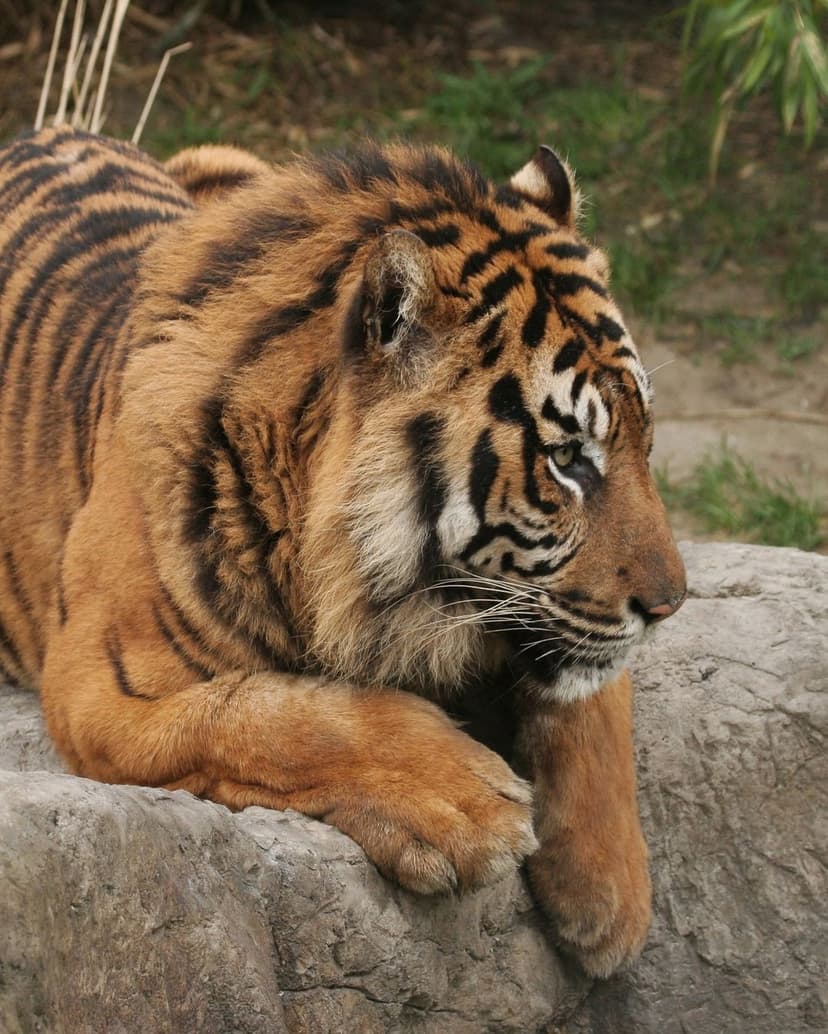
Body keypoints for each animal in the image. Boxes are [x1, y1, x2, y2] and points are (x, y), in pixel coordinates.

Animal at [0, 126, 685, 979]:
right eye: (567, 459)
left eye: (643, 441)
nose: (671, 604)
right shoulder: (100, 684)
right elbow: (273, 714)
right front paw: (466, 803)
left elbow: (592, 700)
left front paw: (610, 897)